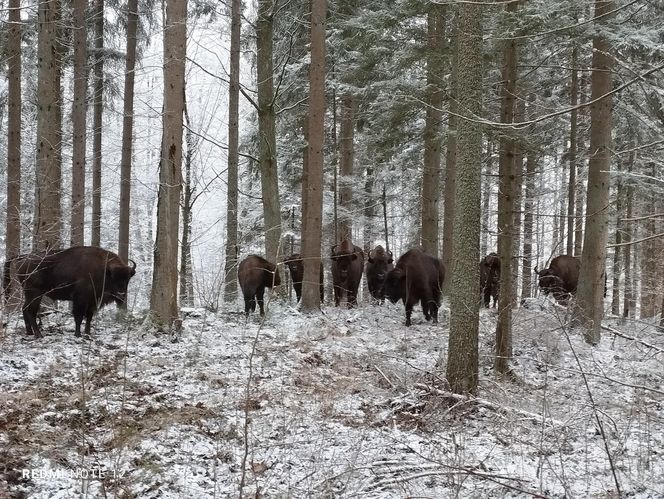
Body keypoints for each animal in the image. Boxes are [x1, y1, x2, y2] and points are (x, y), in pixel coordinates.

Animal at [2, 247, 137, 340]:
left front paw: (88, 333)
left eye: (128, 278)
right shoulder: (80, 300)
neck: (104, 270)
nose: (121, 294)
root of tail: (23, 257)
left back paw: (29, 332)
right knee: (31, 311)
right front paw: (78, 334)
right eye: (114, 277)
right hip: (34, 294)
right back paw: (38, 334)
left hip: (30, 295)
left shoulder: (92, 301)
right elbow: (78, 317)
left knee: (25, 309)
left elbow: (89, 317)